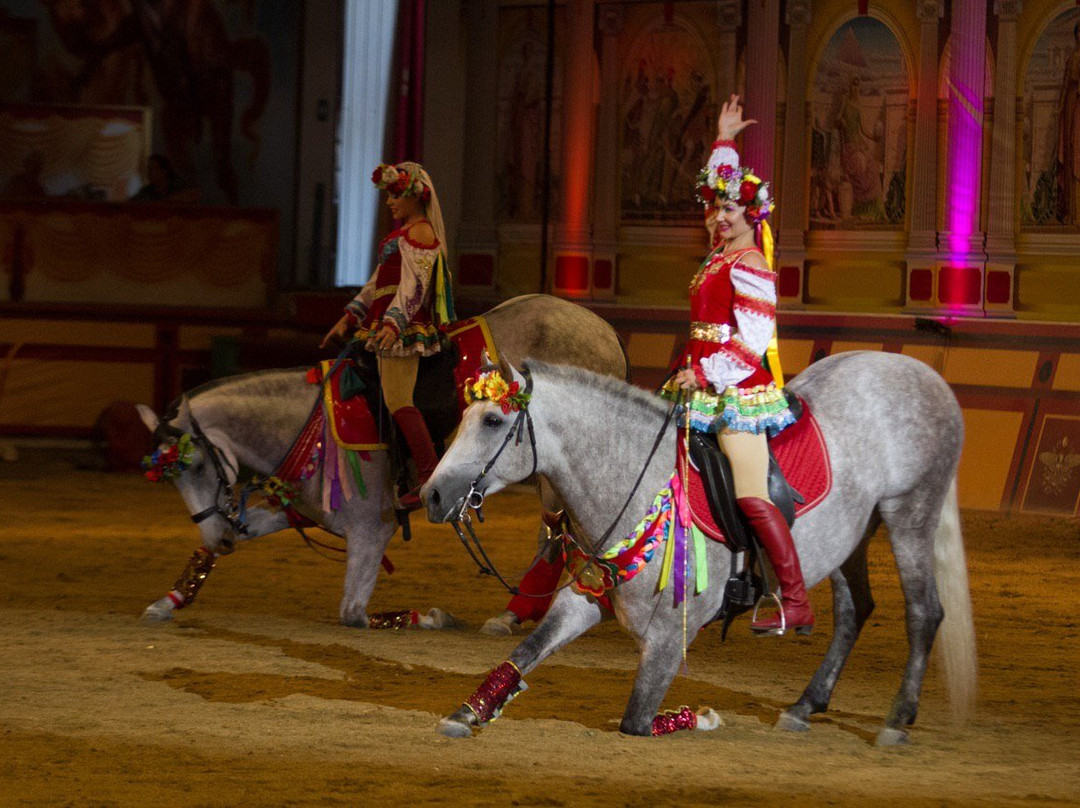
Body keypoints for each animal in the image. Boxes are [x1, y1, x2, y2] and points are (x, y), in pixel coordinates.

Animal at [137, 293, 626, 626]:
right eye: (174, 477)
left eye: (199, 465)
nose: (222, 538)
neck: (314, 423)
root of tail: (605, 331)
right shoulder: (302, 510)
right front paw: (170, 598)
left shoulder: (371, 531)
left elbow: (353, 613)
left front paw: (432, 617)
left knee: (558, 532)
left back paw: (519, 611)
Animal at [423, 354, 980, 743]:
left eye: (493, 422)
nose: (432, 496)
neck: (640, 481)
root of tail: (922, 373)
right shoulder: (586, 596)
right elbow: (526, 651)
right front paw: (469, 711)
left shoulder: (670, 638)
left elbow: (636, 720)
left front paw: (701, 718)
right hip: (852, 536)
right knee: (854, 611)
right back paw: (805, 706)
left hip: (910, 513)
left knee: (923, 614)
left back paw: (897, 720)